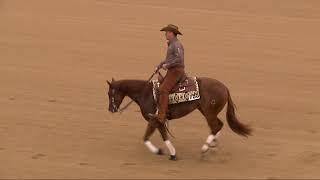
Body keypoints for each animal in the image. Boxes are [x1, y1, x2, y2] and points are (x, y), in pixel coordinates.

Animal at [106, 75, 251, 160]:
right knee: (217, 125)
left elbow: (147, 137)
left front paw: (161, 152)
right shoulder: (158, 121)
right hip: (207, 112)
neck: (144, 93)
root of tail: (225, 88)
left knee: (216, 126)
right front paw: (171, 153)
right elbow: (160, 136)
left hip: (209, 112)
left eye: (110, 93)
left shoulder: (154, 120)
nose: (111, 109)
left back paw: (205, 149)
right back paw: (213, 146)